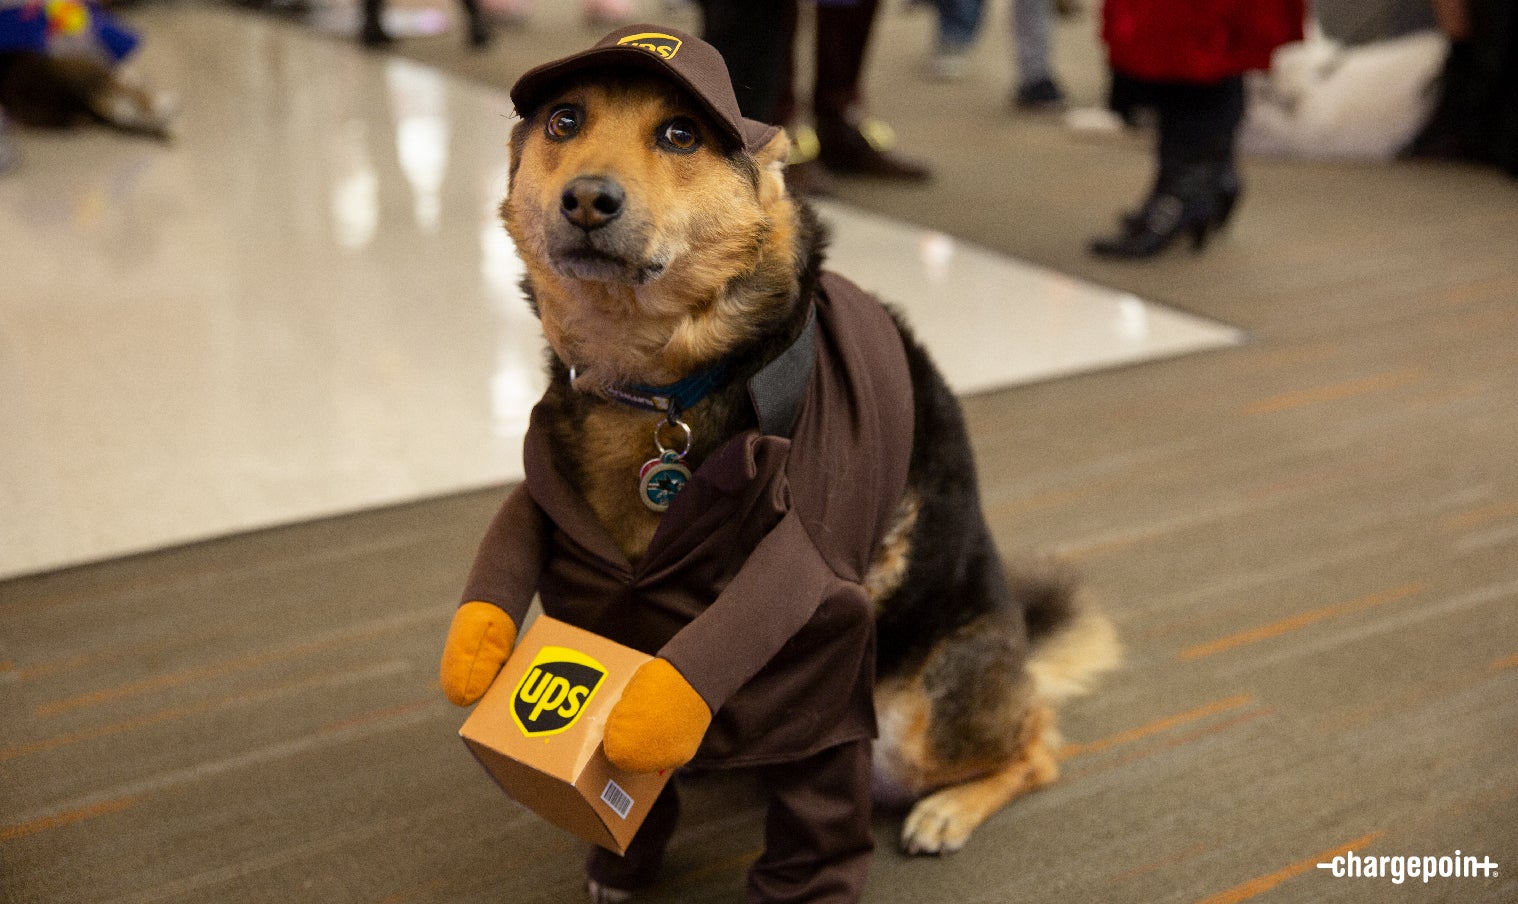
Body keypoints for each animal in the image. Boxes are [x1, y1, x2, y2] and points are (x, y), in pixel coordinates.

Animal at [443, 24, 1123, 897]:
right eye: (564, 121)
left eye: (680, 135)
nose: (589, 200)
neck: (658, 391)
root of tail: (1018, 647)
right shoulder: (601, 600)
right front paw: (624, 859)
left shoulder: (817, 628)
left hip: (912, 720)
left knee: (1038, 747)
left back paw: (948, 809)